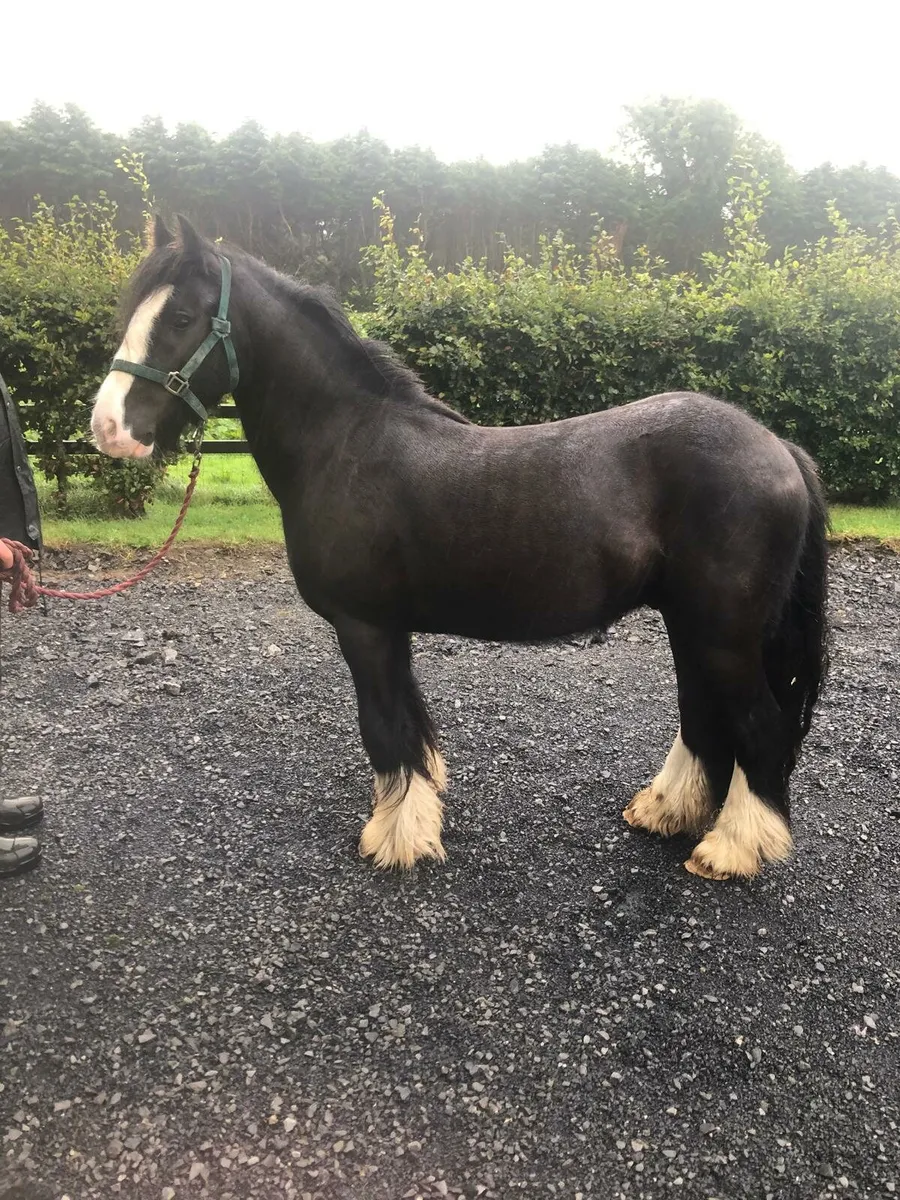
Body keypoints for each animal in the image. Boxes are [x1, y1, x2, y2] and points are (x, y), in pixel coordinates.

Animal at [90, 215, 829, 881]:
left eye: (182, 316)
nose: (107, 428)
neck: (347, 442)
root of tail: (778, 448)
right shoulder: (388, 629)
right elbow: (411, 723)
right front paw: (416, 813)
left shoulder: (363, 627)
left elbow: (383, 726)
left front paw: (395, 840)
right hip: (693, 624)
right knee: (703, 716)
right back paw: (667, 811)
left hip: (722, 633)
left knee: (758, 726)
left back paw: (731, 849)